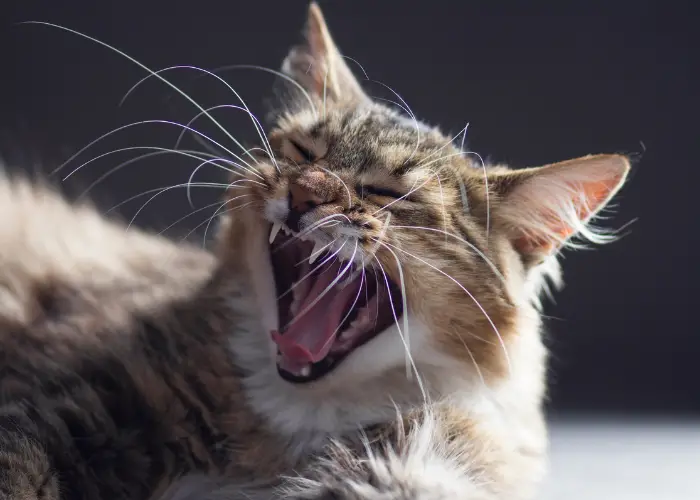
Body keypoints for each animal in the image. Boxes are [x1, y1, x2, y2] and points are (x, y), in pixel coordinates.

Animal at [0, 3, 632, 500]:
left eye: (388, 193)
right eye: (305, 153)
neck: (291, 426)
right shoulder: (59, 399)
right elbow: (20, 469)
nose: (306, 191)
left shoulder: (430, 449)